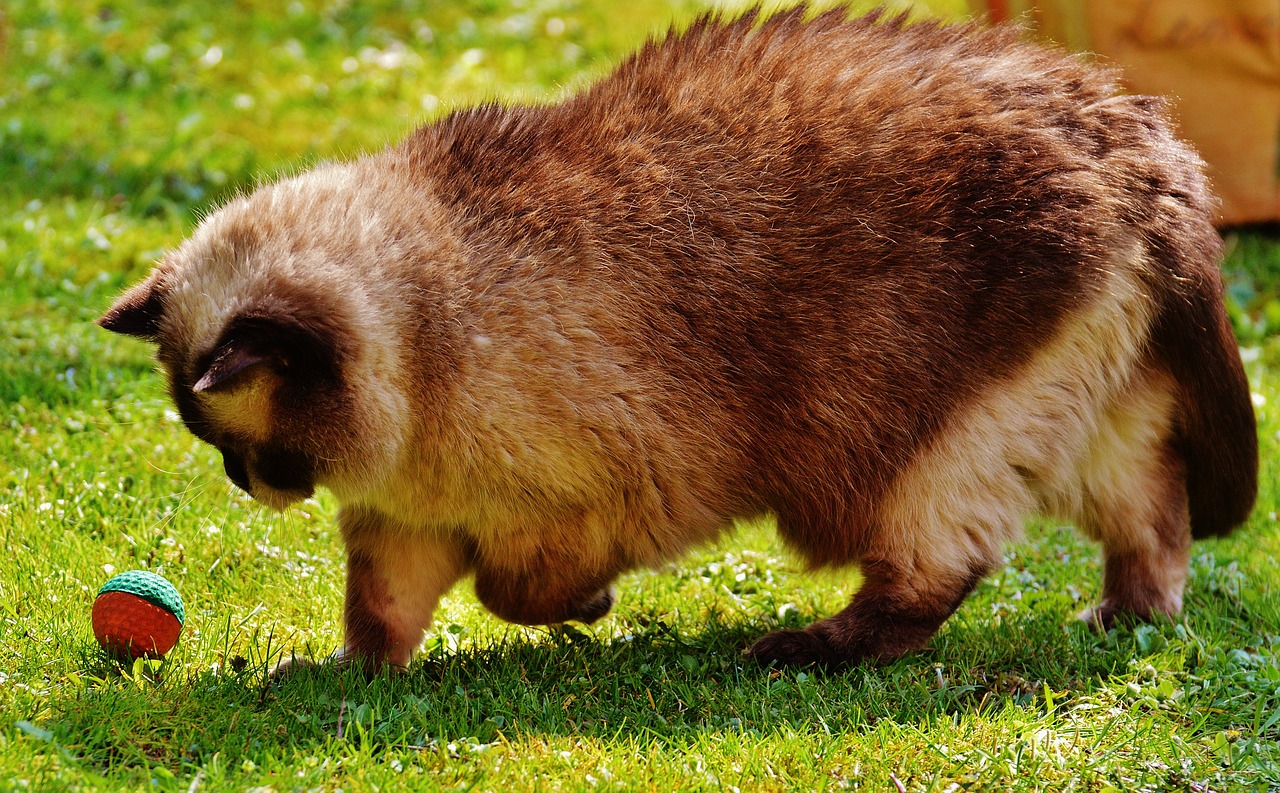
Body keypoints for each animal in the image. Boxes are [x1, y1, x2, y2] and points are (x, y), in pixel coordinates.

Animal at [99, 9, 1259, 670]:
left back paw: (802, 652)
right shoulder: (401, 524)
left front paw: (591, 609)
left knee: (938, 573)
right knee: (1153, 517)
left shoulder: (604, 500)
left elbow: (514, 590)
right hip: (1079, 425)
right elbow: (381, 621)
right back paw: (1124, 619)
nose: (250, 485)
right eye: (216, 449)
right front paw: (343, 679)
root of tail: (1140, 144)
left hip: (926, 455)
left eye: (245, 445)